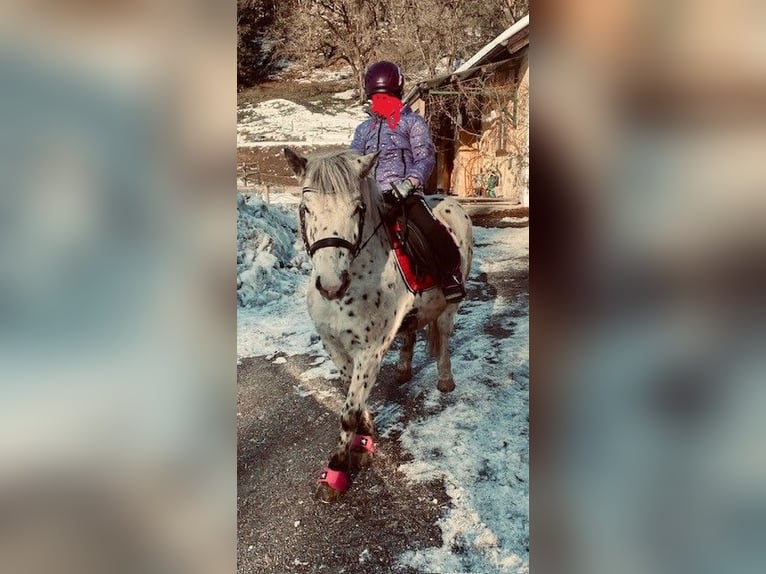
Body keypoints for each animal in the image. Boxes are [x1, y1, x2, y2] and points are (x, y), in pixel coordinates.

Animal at [284, 148, 474, 504]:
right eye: (306, 208)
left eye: (357, 208)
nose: (331, 284)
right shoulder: (335, 345)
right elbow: (354, 398)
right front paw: (365, 439)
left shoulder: (370, 351)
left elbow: (349, 411)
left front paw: (337, 470)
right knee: (412, 331)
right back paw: (403, 369)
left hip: (450, 305)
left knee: (443, 335)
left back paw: (444, 380)